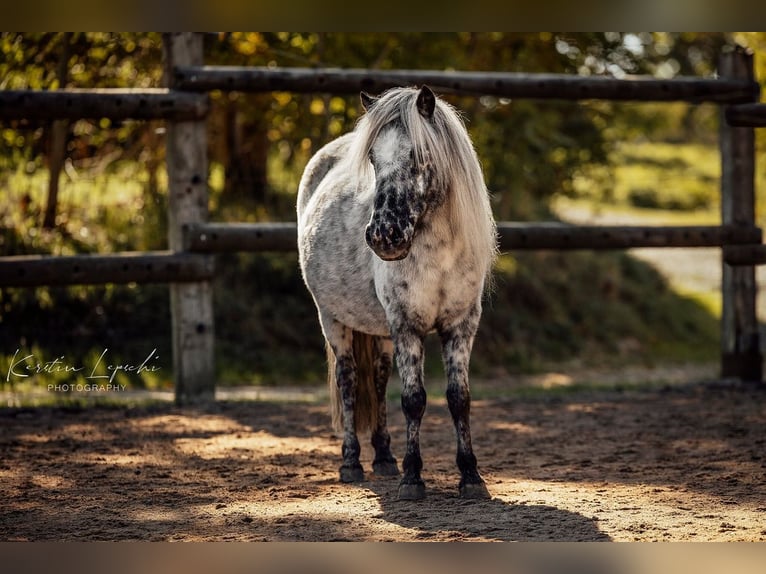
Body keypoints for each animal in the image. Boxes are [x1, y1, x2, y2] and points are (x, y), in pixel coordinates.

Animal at [297, 85, 497, 500]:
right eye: (373, 158)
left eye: (418, 156)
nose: (383, 236)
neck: (439, 255)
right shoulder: (406, 325)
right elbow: (413, 399)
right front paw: (412, 479)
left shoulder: (461, 325)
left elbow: (459, 398)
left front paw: (471, 476)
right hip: (333, 319)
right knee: (349, 380)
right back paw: (352, 464)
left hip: (380, 331)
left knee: (377, 379)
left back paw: (385, 458)